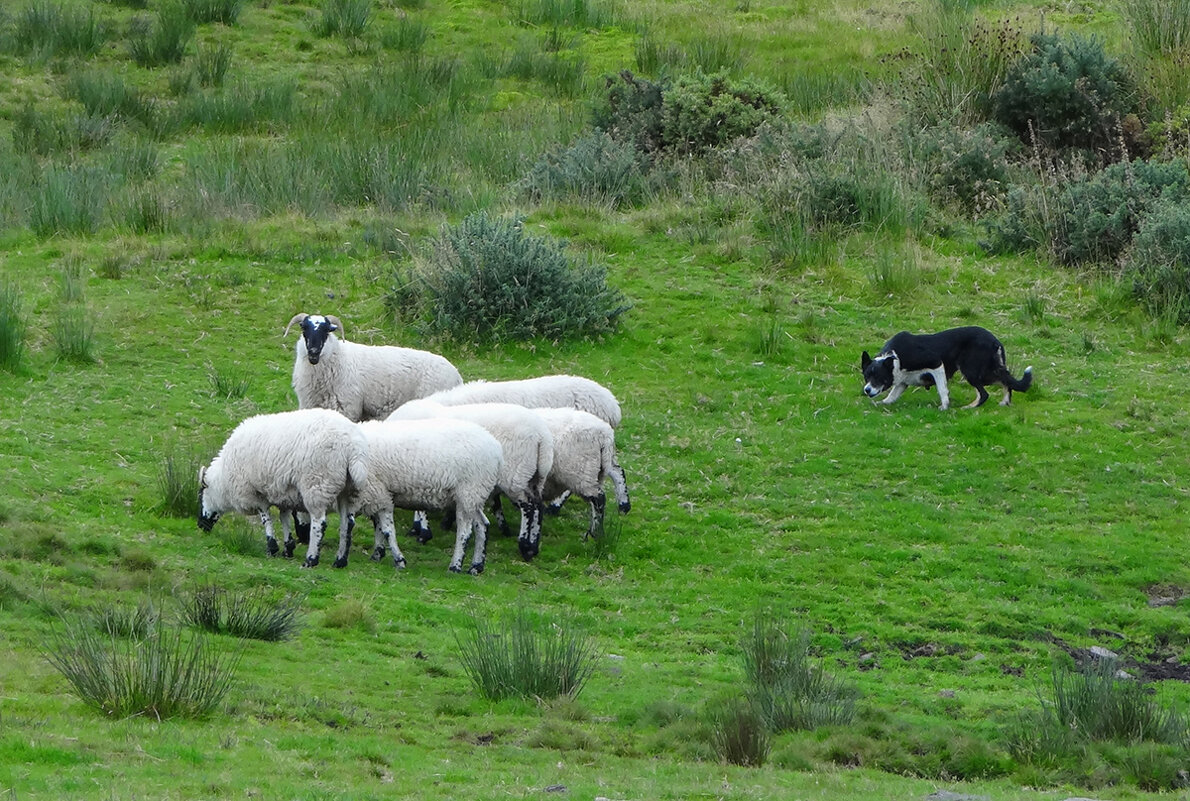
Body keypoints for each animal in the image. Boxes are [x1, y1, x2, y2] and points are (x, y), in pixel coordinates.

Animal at [196, 407, 366, 568]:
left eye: (200, 495)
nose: (200, 525)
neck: (224, 479)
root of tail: (352, 447)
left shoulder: (254, 493)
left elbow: (266, 518)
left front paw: (272, 548)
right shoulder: (284, 493)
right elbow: (284, 518)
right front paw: (288, 548)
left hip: (317, 483)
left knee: (319, 523)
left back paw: (311, 560)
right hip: (349, 490)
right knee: (347, 523)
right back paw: (340, 561)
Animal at [283, 311, 459, 423]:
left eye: (326, 331)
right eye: (304, 328)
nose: (313, 352)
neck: (338, 357)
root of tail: (457, 375)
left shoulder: (348, 408)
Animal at [349, 418, 504, 576]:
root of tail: (496, 447)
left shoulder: (377, 493)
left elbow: (386, 530)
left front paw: (397, 560)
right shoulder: (377, 496)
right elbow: (378, 526)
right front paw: (377, 555)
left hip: (468, 491)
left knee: (464, 532)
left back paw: (455, 566)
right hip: (474, 496)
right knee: (482, 525)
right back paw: (476, 566)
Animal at [390, 397, 556, 559]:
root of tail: (542, 435)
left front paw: (422, 532)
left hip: (515, 475)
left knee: (528, 507)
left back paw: (524, 545)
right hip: (535, 475)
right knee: (538, 505)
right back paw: (533, 547)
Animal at [535, 407, 633, 537]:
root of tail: (606, 435)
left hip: (579, 468)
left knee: (598, 498)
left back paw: (596, 533)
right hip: (595, 466)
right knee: (617, 470)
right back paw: (624, 506)